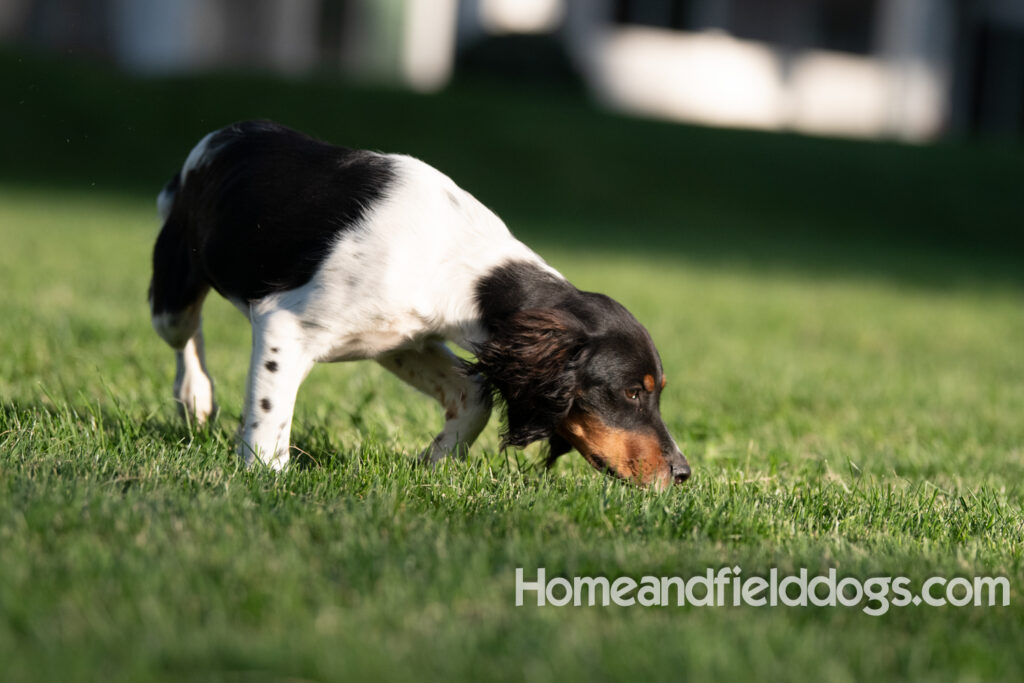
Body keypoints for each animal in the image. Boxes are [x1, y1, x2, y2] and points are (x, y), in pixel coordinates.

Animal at [148, 120, 692, 489]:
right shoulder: (284, 325)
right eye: (631, 393)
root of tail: (219, 138)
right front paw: (268, 479)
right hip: (171, 298)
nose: (683, 473)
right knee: (186, 333)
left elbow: (475, 398)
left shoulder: (402, 341)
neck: (460, 259)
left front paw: (437, 463)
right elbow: (269, 418)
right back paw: (195, 396)